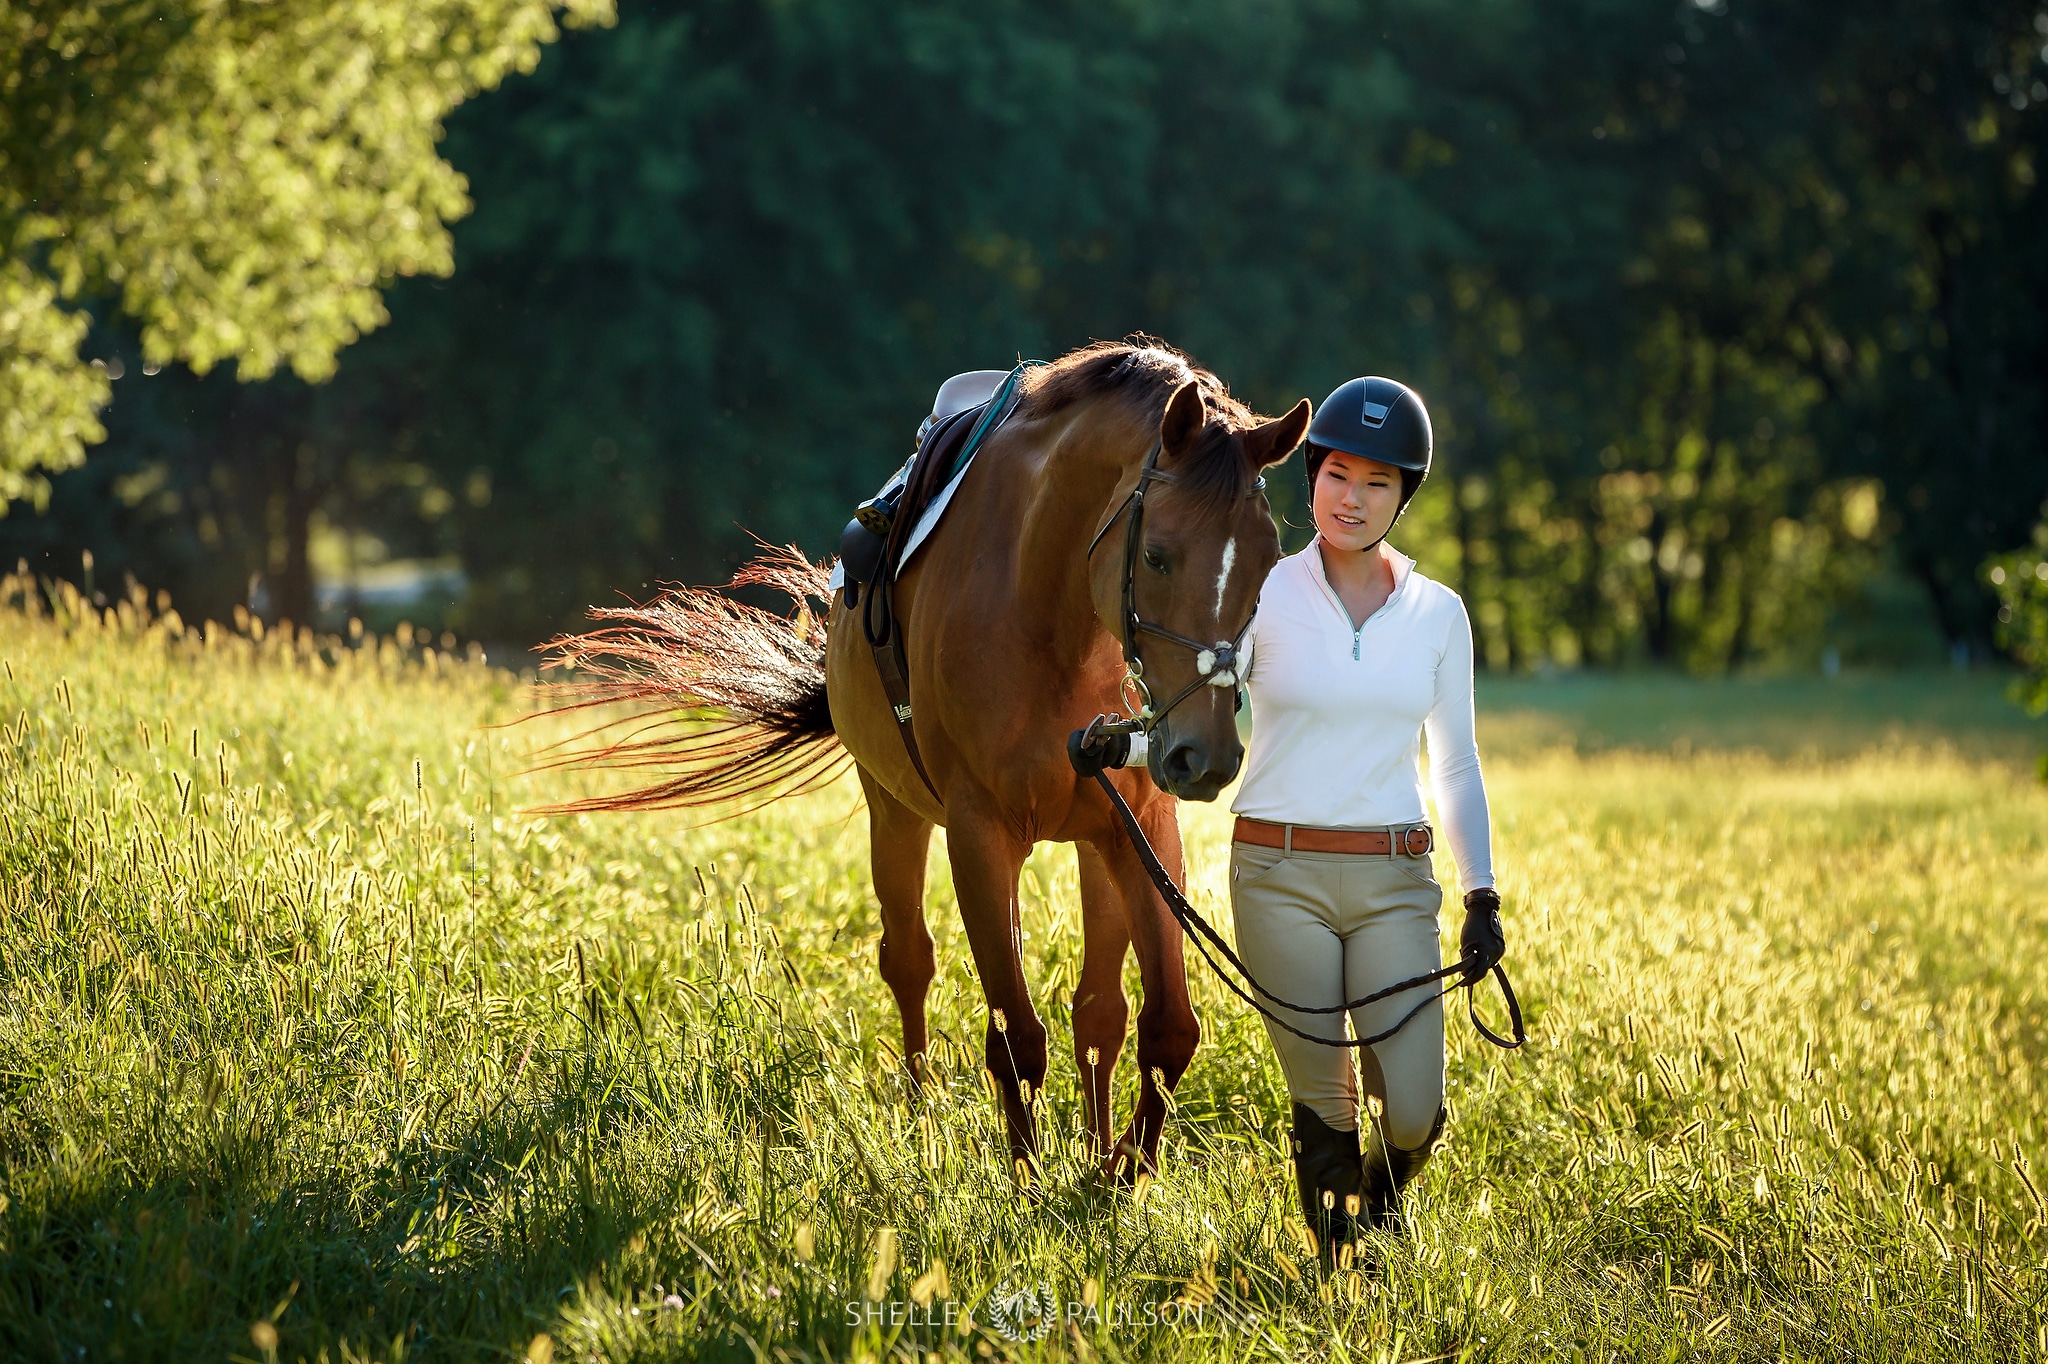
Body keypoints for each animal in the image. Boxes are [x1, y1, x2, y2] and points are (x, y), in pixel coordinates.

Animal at [544, 342, 1310, 1179]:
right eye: (1160, 556)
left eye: (1268, 563)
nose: (1205, 757)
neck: (1052, 611)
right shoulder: (979, 836)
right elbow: (1015, 1035)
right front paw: (1030, 1185)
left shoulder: (1139, 828)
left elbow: (1167, 1027)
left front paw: (1112, 1176)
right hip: (895, 811)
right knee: (909, 960)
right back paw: (920, 1119)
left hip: (1094, 842)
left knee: (1098, 1014)